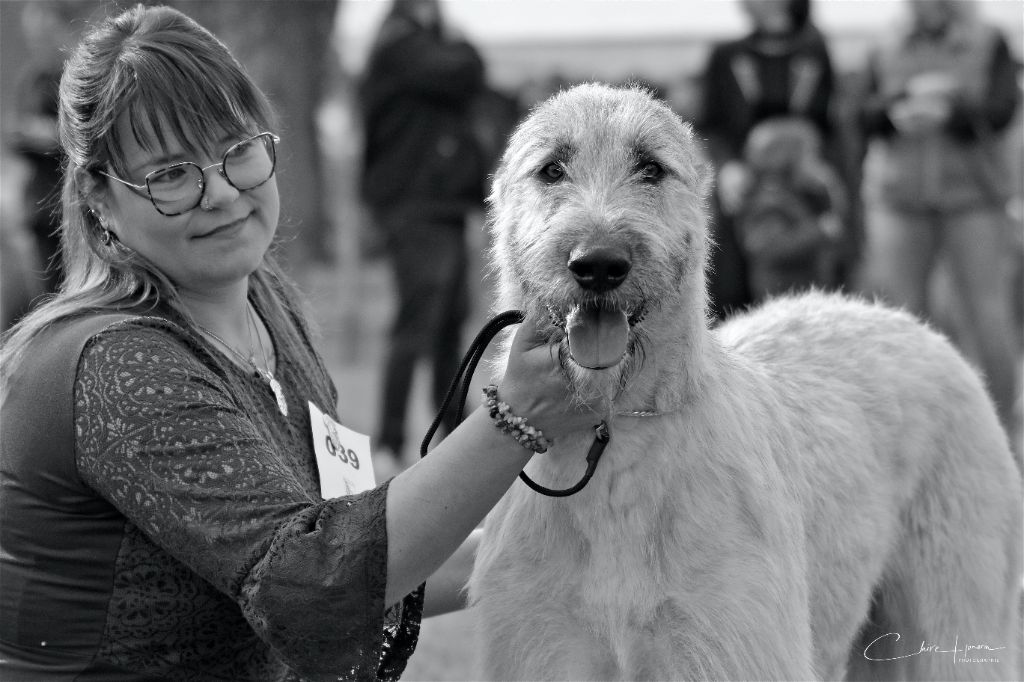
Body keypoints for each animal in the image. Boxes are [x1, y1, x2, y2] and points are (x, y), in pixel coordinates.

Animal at [468, 84, 1019, 679]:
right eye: (551, 168)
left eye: (651, 167)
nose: (598, 265)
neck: (617, 431)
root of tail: (909, 322)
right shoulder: (542, 644)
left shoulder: (730, 641)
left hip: (956, 609)